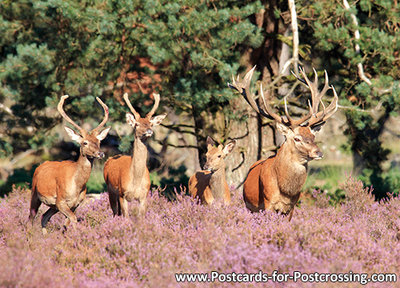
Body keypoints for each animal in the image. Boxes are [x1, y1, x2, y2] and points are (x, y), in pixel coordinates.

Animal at [29, 95, 109, 233]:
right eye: (85, 142)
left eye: (99, 142)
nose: (100, 153)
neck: (77, 185)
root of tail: (39, 166)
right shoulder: (60, 200)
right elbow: (73, 219)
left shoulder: (76, 204)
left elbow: (67, 222)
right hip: (35, 194)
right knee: (31, 218)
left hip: (53, 206)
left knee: (44, 217)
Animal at [228, 66, 338, 218]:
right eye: (297, 138)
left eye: (313, 136)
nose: (319, 152)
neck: (285, 192)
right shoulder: (268, 203)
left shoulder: (291, 208)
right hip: (249, 206)